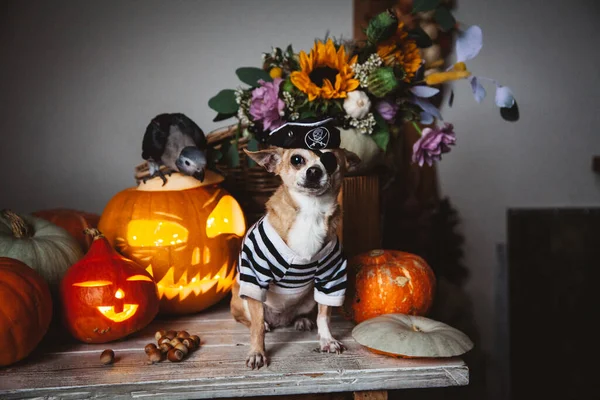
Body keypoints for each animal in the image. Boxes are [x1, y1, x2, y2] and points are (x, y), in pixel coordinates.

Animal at [230, 141, 360, 368]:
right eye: (297, 160)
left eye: (330, 161)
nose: (314, 170)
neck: (310, 212)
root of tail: (280, 320)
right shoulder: (256, 277)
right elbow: (256, 327)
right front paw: (257, 352)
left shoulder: (330, 277)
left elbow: (324, 315)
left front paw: (327, 339)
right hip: (242, 298)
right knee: (252, 320)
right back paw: (266, 323)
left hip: (308, 299)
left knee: (305, 313)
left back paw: (301, 320)